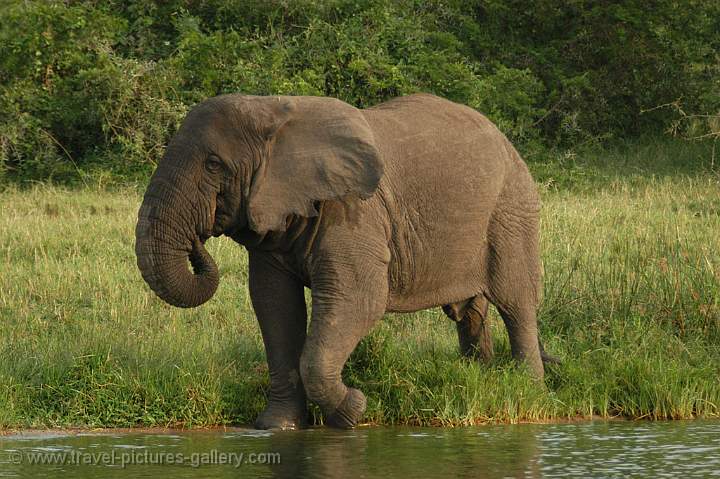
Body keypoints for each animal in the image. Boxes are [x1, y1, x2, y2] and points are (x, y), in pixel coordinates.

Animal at [135, 93, 556, 432]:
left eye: (213, 164)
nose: (197, 241)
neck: (272, 111)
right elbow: (274, 306)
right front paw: (276, 427)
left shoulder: (354, 209)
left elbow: (359, 300)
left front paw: (354, 410)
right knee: (471, 312)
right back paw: (478, 379)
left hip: (512, 207)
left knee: (515, 300)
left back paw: (528, 392)